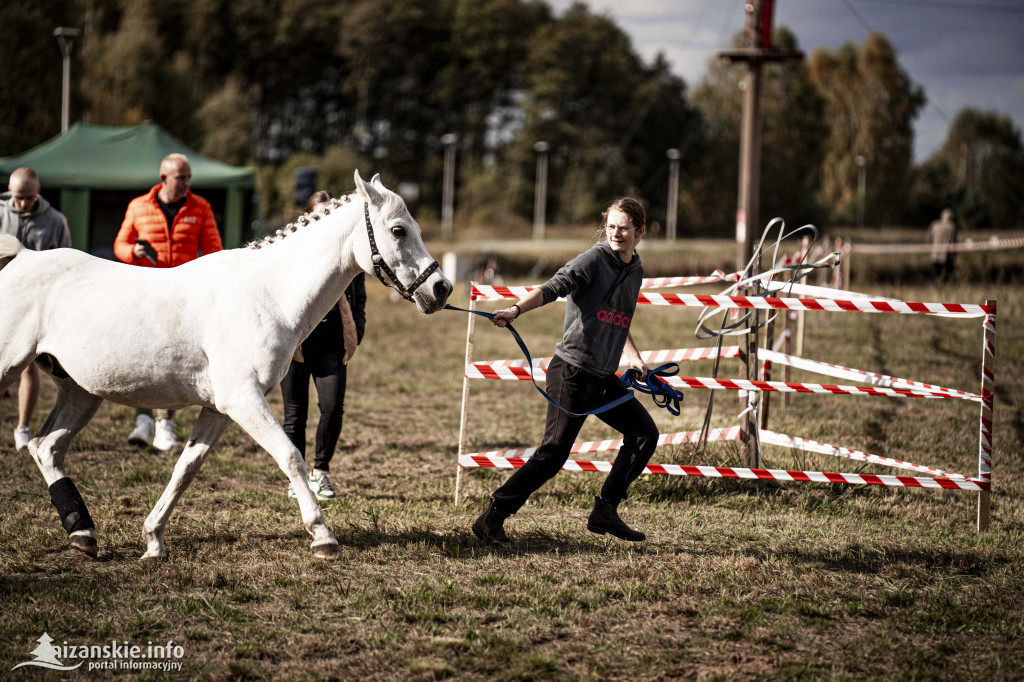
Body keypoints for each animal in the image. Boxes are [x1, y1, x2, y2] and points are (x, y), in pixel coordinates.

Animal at [0, 169, 452, 557]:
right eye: (398, 230)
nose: (441, 288)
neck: (268, 292)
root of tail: (21, 258)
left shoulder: (217, 410)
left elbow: (185, 469)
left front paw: (153, 540)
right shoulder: (243, 400)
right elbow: (291, 456)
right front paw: (323, 536)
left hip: (80, 392)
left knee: (46, 448)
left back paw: (83, 533)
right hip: (12, 368)